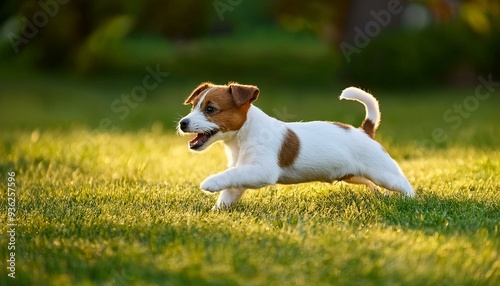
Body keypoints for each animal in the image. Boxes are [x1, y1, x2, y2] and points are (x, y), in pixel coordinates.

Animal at [178, 81, 416, 209]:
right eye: (193, 107)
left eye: (210, 109)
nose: (183, 123)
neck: (243, 136)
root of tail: (364, 131)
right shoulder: (243, 173)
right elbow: (230, 188)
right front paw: (217, 211)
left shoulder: (261, 170)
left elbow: (230, 175)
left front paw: (210, 182)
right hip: (355, 175)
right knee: (373, 185)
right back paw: (382, 196)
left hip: (382, 172)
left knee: (402, 183)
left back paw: (411, 200)